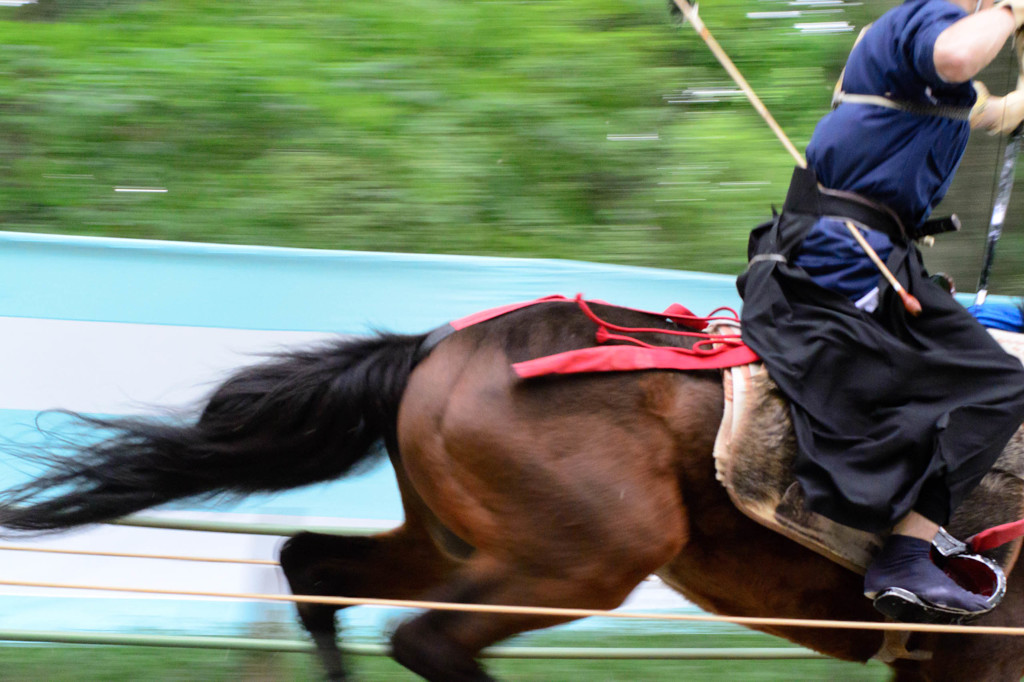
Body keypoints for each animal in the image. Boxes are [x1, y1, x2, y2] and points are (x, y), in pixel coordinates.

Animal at [2, 301, 1024, 675]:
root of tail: (432, 347)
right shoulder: (980, 659)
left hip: (454, 541)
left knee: (314, 567)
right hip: (585, 558)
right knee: (425, 637)